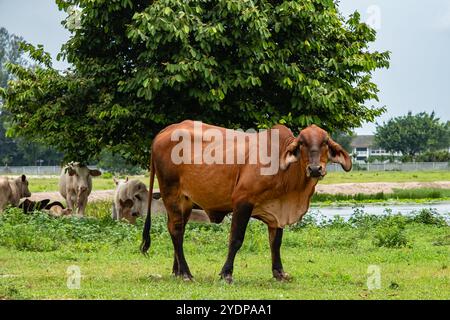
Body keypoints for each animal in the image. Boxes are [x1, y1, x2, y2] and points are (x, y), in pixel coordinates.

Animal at [141, 120, 352, 282]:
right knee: (176, 231)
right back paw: (185, 273)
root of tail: (164, 132)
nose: (315, 169)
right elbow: (236, 239)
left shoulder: (277, 211)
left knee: (177, 230)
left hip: (185, 202)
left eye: (325, 142)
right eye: (302, 143)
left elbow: (276, 242)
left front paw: (279, 273)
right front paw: (226, 274)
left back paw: (177, 271)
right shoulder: (242, 201)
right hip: (172, 194)